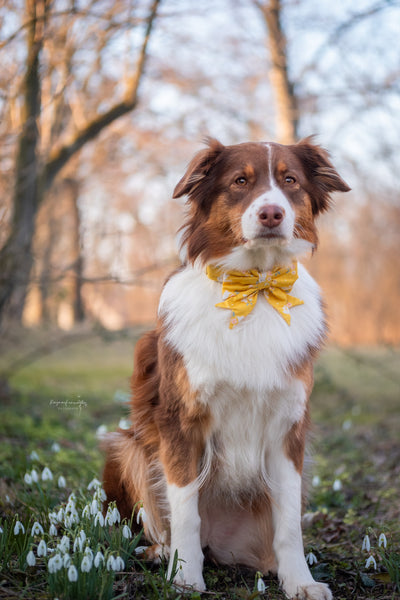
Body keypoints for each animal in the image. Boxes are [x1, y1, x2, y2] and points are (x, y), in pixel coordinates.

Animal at [103, 138, 350, 596]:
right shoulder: (182, 422)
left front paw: (300, 582)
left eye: (290, 181)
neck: (256, 285)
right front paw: (185, 576)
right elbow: (185, 511)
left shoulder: (288, 428)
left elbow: (289, 523)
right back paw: (162, 553)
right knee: (159, 523)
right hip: (125, 444)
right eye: (240, 181)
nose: (271, 213)